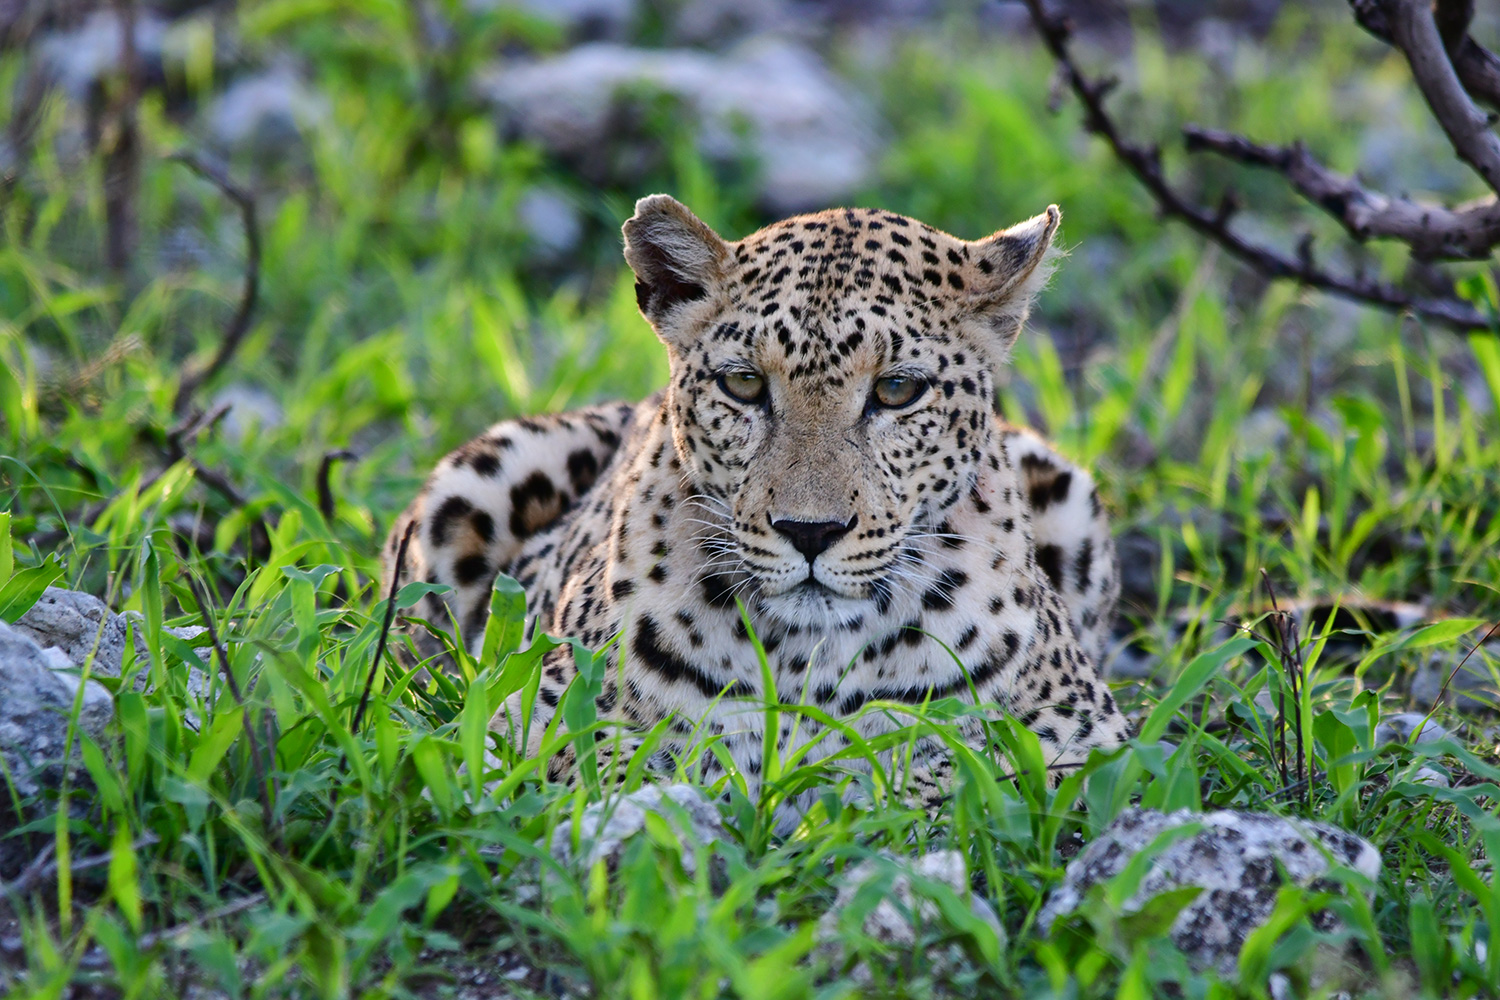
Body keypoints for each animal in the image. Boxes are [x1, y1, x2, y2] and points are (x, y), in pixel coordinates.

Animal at [383, 194, 1130, 807]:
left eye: (897, 390)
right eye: (742, 384)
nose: (810, 531)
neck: (810, 664)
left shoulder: (1091, 737)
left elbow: (974, 768)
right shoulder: (523, 720)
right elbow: (611, 761)